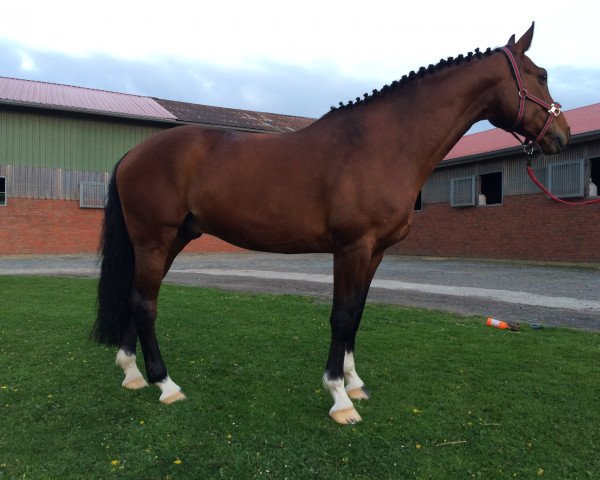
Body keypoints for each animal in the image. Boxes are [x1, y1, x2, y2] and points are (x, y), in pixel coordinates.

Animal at [91, 25, 568, 424]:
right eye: (541, 75)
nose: (560, 135)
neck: (383, 144)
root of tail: (133, 154)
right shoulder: (352, 247)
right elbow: (340, 316)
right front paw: (339, 398)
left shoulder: (375, 252)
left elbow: (356, 313)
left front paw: (355, 385)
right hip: (155, 240)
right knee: (146, 303)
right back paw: (166, 384)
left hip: (170, 240)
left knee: (136, 297)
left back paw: (133, 374)